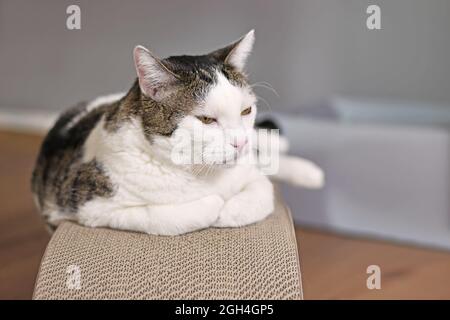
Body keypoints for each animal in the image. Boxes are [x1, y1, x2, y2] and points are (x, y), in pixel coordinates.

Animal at [31, 30, 324, 235]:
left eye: (246, 111)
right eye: (206, 119)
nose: (240, 142)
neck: (200, 173)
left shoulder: (252, 175)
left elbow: (262, 191)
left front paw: (231, 207)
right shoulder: (92, 207)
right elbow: (173, 214)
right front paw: (217, 204)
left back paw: (305, 168)